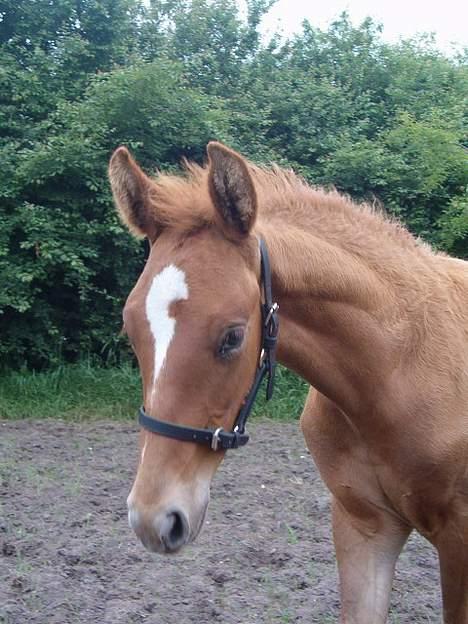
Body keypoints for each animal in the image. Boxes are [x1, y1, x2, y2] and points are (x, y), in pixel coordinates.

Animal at [109, 143, 468, 624]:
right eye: (131, 330)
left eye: (233, 336)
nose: (153, 520)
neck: (395, 372)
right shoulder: (364, 526)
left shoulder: (459, 540)